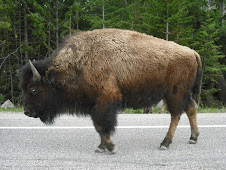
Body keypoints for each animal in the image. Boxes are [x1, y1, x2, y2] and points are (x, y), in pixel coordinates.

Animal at [19, 28, 201, 152]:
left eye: (33, 89)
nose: (27, 111)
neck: (77, 63)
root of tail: (192, 52)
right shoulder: (95, 103)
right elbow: (98, 125)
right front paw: (102, 146)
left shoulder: (106, 99)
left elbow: (101, 124)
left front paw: (108, 147)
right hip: (183, 93)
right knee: (190, 108)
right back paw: (193, 138)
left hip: (174, 93)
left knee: (176, 114)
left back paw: (165, 143)